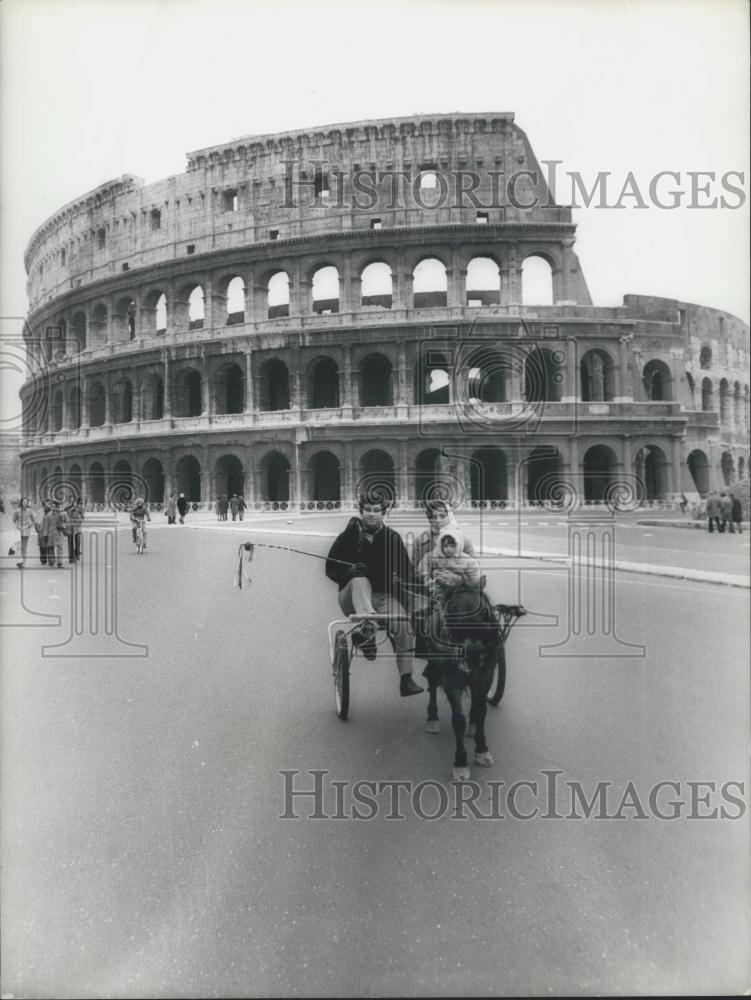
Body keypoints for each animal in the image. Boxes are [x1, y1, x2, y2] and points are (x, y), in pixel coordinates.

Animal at [420, 584, 502, 784]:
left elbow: (481, 712)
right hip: (434, 661)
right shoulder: (452, 682)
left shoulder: (485, 677)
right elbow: (458, 721)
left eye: (485, 612)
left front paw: (481, 749)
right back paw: (432, 717)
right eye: (451, 613)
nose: (472, 653)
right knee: (432, 680)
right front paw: (460, 762)